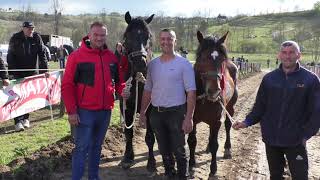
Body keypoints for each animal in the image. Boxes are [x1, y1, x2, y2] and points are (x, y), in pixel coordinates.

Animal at [188, 30, 238, 176]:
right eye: (203, 58)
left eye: (222, 60)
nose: (214, 91)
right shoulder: (192, 119)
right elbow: (192, 141)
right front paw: (191, 165)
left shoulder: (216, 121)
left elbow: (215, 144)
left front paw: (213, 170)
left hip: (230, 108)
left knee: (227, 125)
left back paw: (227, 149)